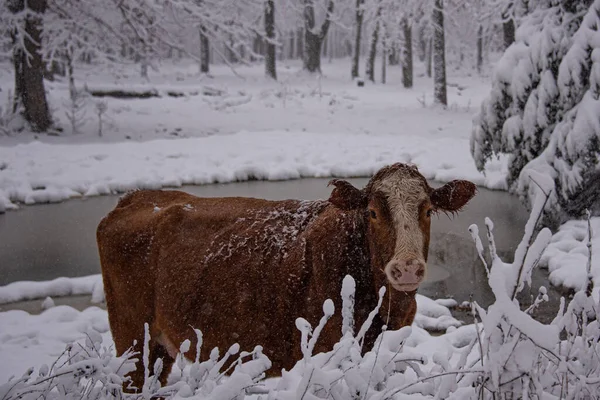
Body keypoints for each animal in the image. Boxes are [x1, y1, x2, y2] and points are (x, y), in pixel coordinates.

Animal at [96, 162, 476, 388]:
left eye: (427, 211)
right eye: (372, 212)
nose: (407, 266)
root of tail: (134, 198)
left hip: (158, 349)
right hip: (132, 341)